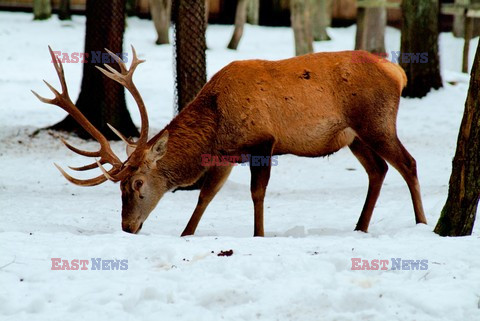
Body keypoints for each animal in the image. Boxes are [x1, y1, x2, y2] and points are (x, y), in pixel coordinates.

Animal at [33, 45, 428, 235]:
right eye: (119, 188)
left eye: (138, 183)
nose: (127, 227)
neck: (215, 125)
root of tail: (398, 72)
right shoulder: (226, 156)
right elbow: (206, 196)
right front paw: (186, 234)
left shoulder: (262, 142)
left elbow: (257, 193)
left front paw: (259, 234)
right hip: (354, 136)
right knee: (378, 170)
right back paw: (360, 227)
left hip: (376, 121)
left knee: (408, 163)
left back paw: (422, 223)